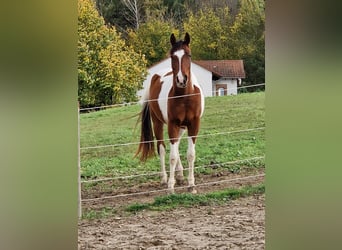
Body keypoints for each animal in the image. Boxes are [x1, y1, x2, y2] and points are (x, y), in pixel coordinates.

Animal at [136, 32, 204, 193]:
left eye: (189, 55)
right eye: (172, 56)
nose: (181, 79)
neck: (185, 97)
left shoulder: (193, 125)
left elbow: (190, 154)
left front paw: (191, 185)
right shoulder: (172, 124)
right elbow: (171, 156)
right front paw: (170, 186)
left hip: (181, 127)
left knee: (177, 146)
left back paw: (180, 176)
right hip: (158, 123)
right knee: (162, 148)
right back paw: (164, 178)